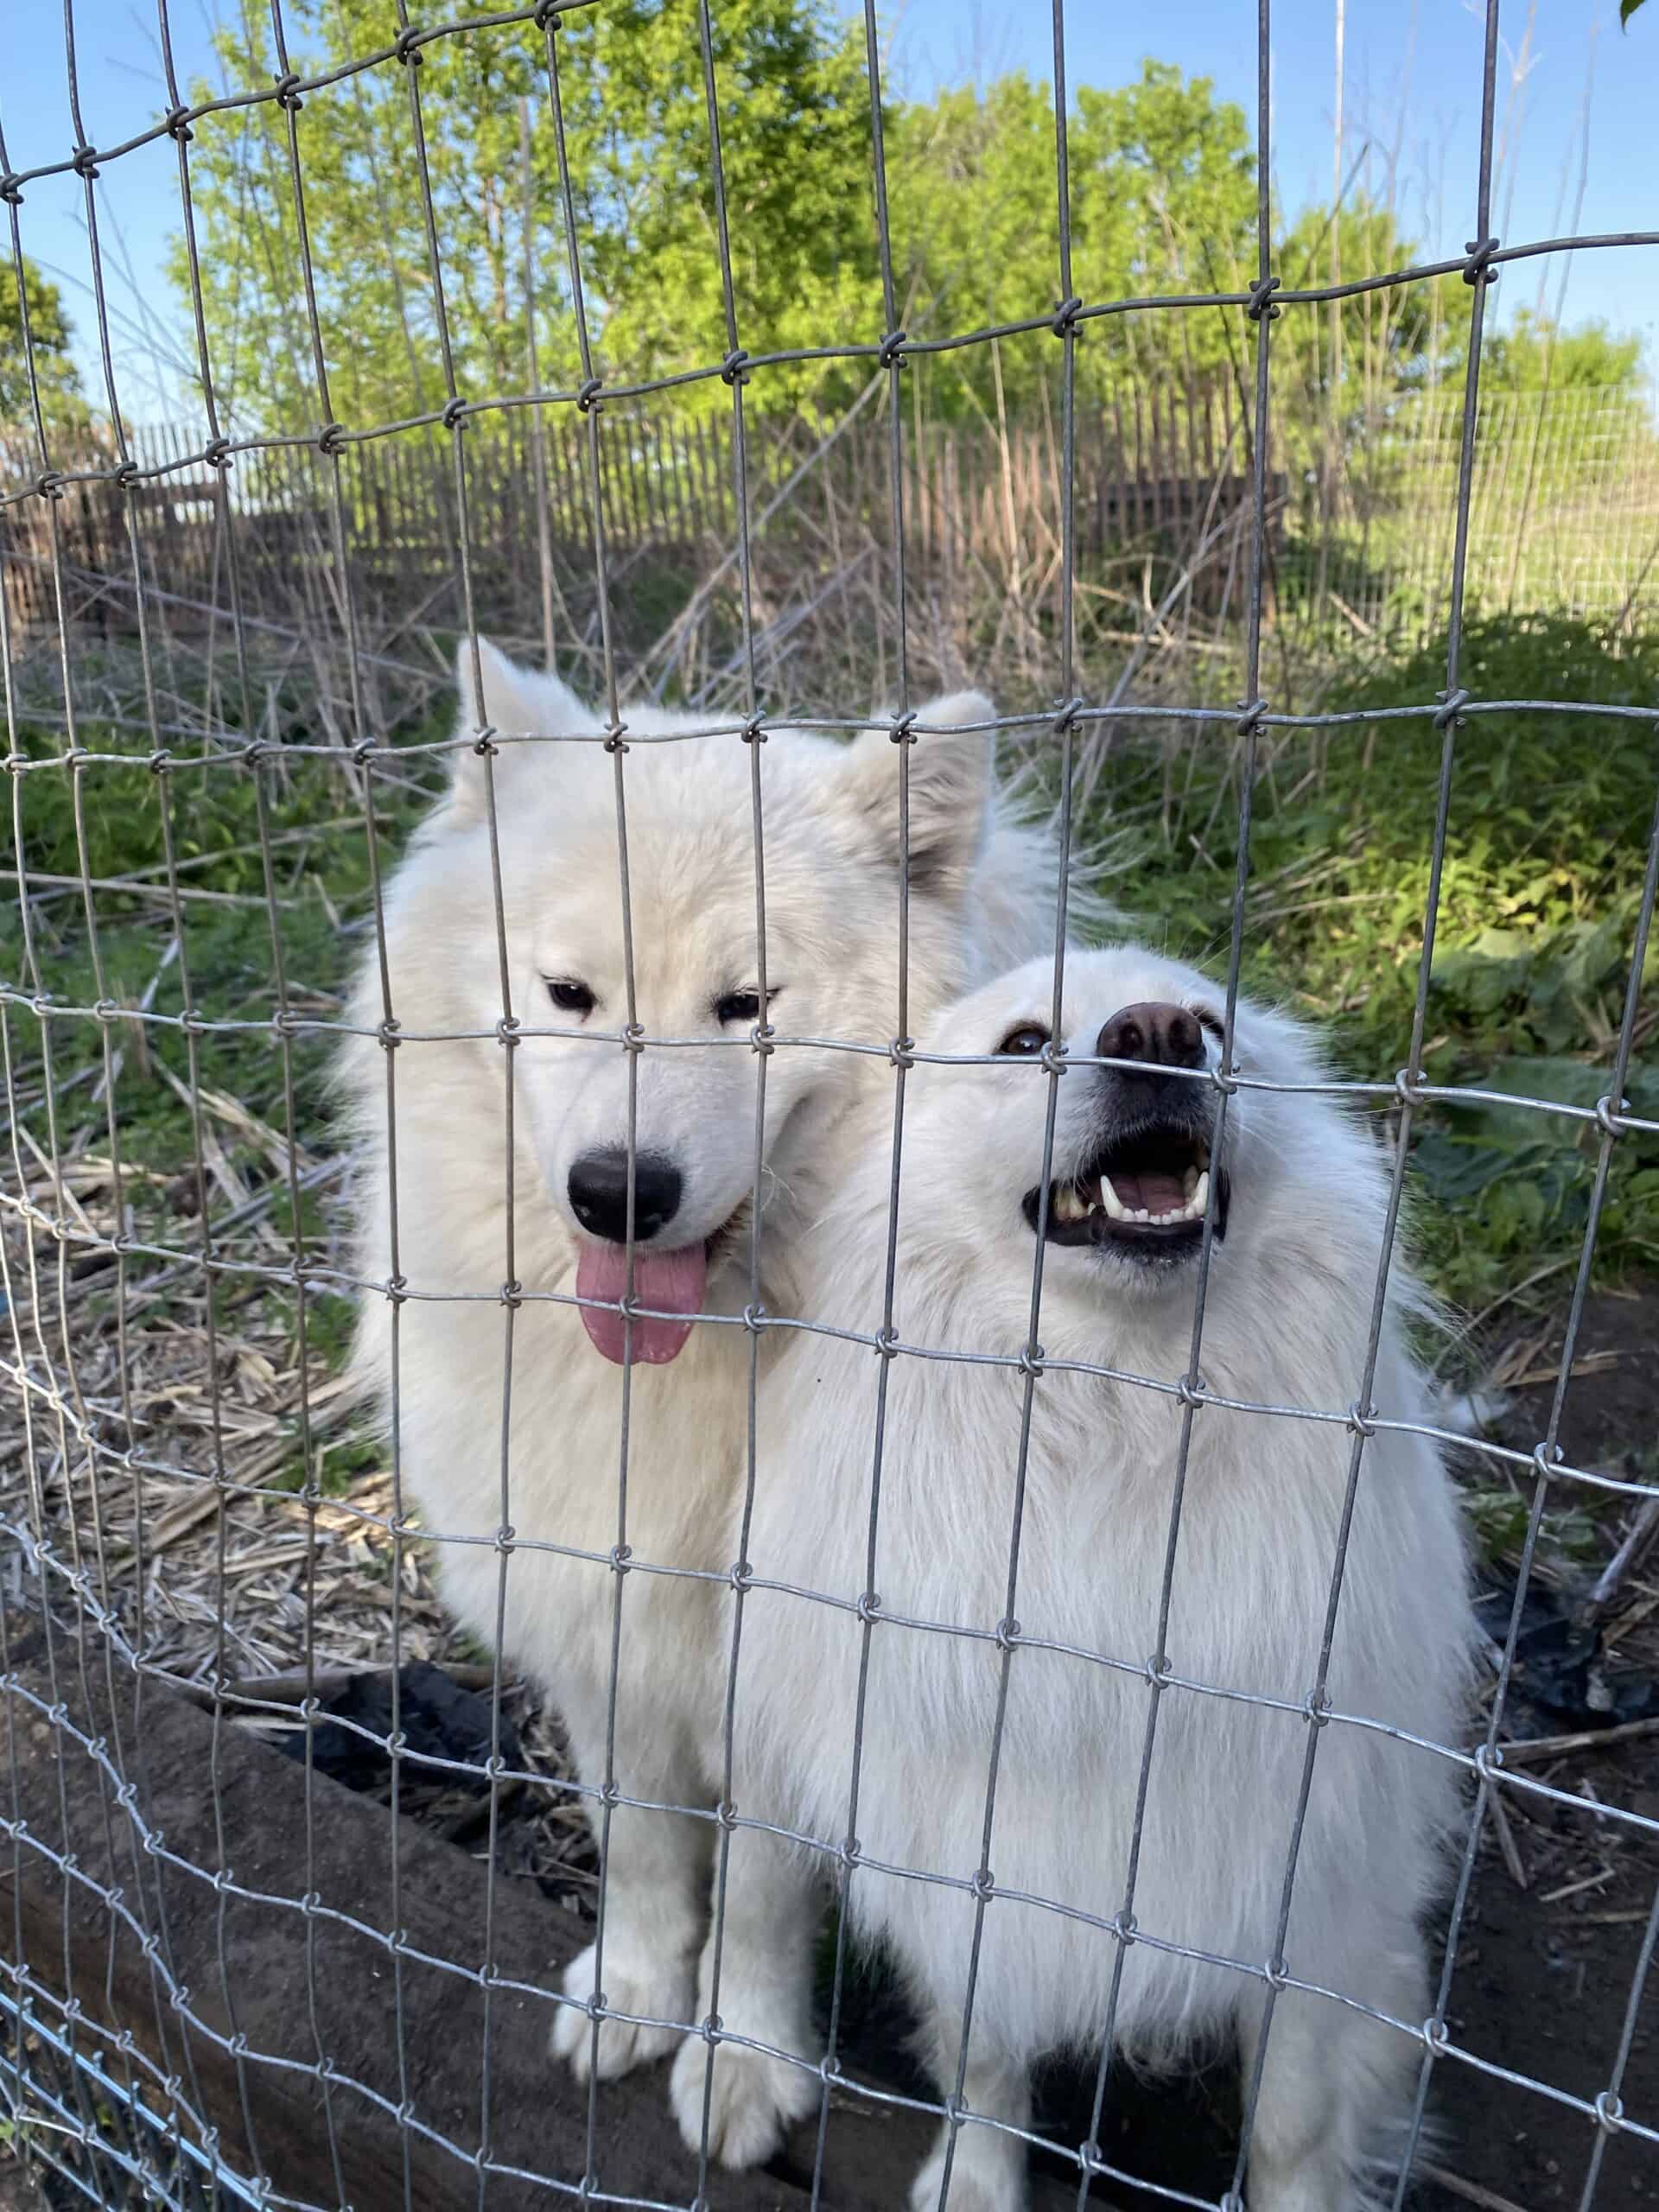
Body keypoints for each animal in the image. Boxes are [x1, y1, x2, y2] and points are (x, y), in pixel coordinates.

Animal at [340, 641, 1079, 2106]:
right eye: (569, 994)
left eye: (748, 1006)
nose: (619, 1194)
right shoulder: (602, 1628)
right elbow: (639, 1847)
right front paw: (634, 1997)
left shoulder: (790, 1690)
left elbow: (760, 1894)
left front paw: (740, 2063)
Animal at [694, 946, 1478, 2212]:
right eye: (1023, 1045)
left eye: (1213, 1025)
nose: (1157, 1036)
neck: (1119, 1401)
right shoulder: (968, 1849)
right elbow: (982, 2055)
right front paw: (973, 2183)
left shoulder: (1320, 1894)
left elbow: (1293, 2127)